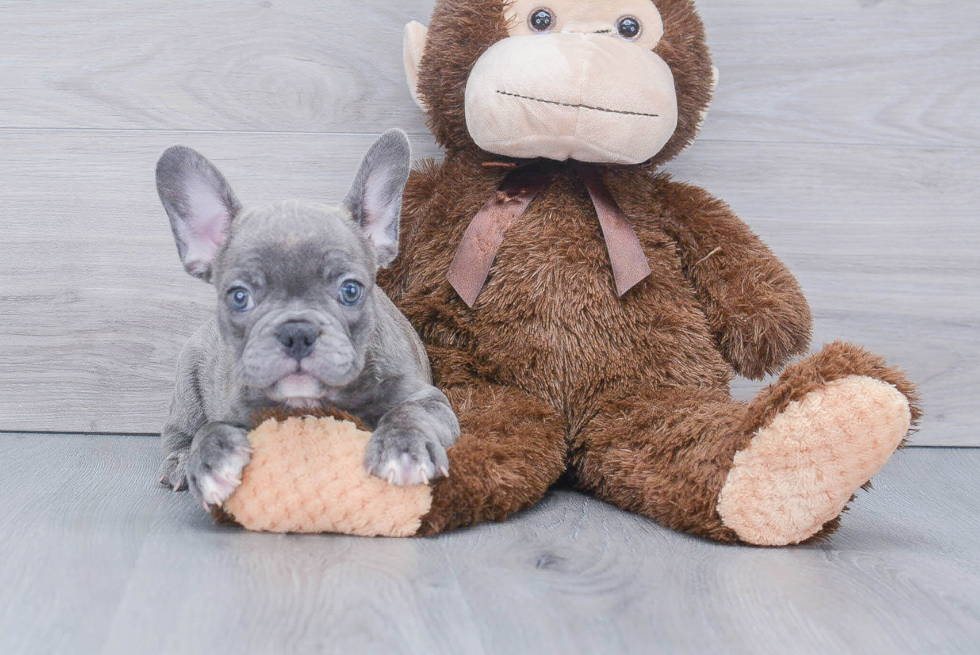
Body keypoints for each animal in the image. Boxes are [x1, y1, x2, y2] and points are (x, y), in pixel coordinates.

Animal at [155, 127, 462, 508]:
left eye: (350, 291)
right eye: (239, 297)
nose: (297, 332)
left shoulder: (430, 401)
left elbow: (409, 412)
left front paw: (403, 447)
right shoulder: (233, 407)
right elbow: (212, 428)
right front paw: (210, 459)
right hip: (187, 379)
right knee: (181, 429)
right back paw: (181, 459)